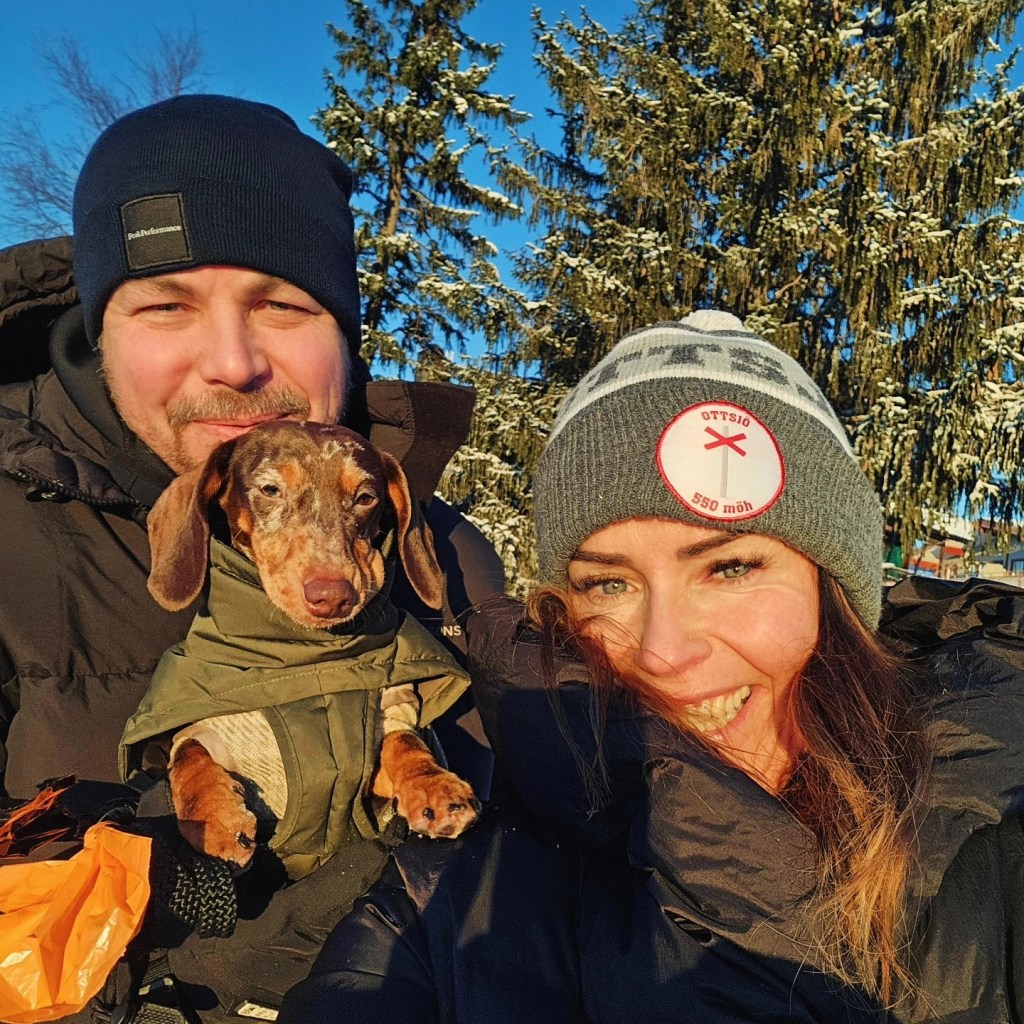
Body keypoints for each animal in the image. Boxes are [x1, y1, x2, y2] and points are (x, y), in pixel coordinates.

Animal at [141, 419, 479, 868]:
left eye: (366, 497)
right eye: (270, 489)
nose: (333, 596)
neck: (308, 659)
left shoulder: (378, 746)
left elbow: (404, 741)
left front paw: (434, 786)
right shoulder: (206, 728)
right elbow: (189, 757)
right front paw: (213, 818)